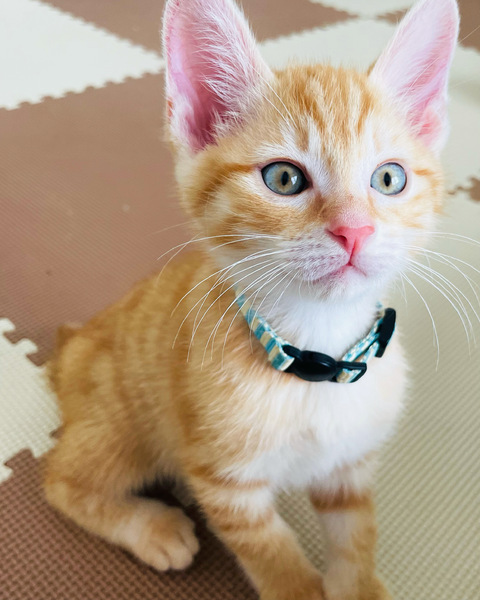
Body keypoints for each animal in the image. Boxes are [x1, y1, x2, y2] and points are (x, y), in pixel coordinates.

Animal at [43, 0, 459, 599]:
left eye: (389, 178)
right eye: (284, 178)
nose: (354, 231)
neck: (319, 357)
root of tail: (74, 341)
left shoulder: (349, 466)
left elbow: (357, 533)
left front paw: (359, 583)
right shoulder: (225, 482)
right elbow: (275, 558)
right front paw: (300, 584)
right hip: (122, 421)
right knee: (60, 478)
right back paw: (152, 526)